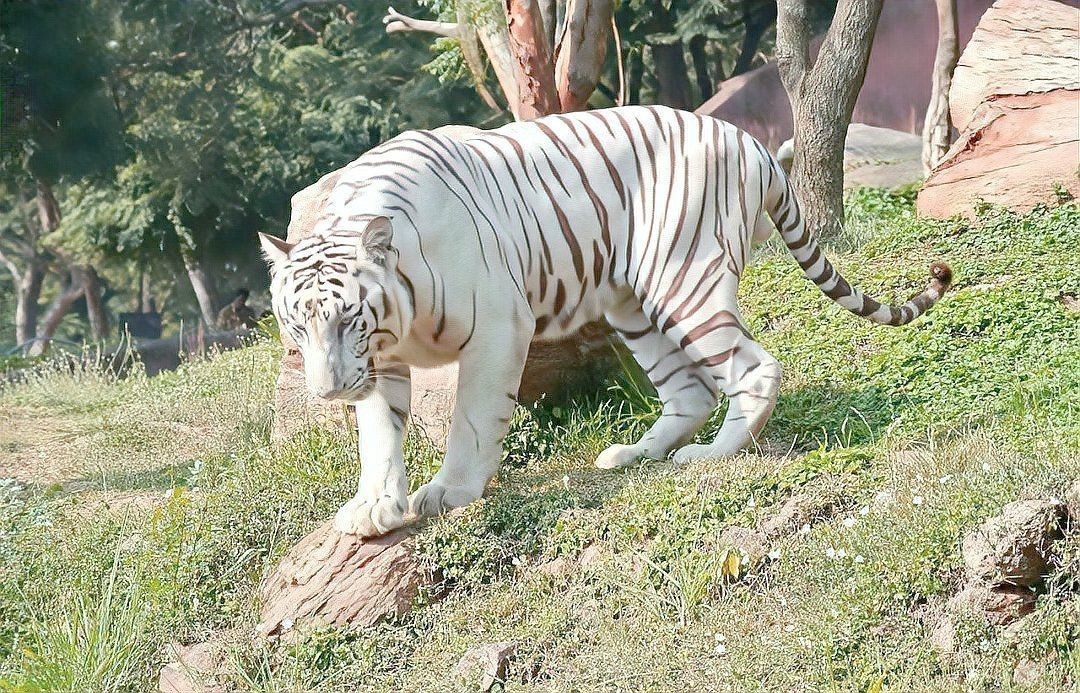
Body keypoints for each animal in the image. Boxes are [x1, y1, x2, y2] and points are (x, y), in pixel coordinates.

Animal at [259, 105, 952, 538]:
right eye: (296, 327)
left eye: (347, 319)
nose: (326, 390)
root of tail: (751, 141)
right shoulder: (382, 361)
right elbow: (378, 434)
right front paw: (375, 507)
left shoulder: (496, 329)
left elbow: (471, 421)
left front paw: (450, 492)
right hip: (633, 304)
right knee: (691, 388)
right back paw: (633, 454)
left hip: (682, 278)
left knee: (752, 369)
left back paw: (711, 454)